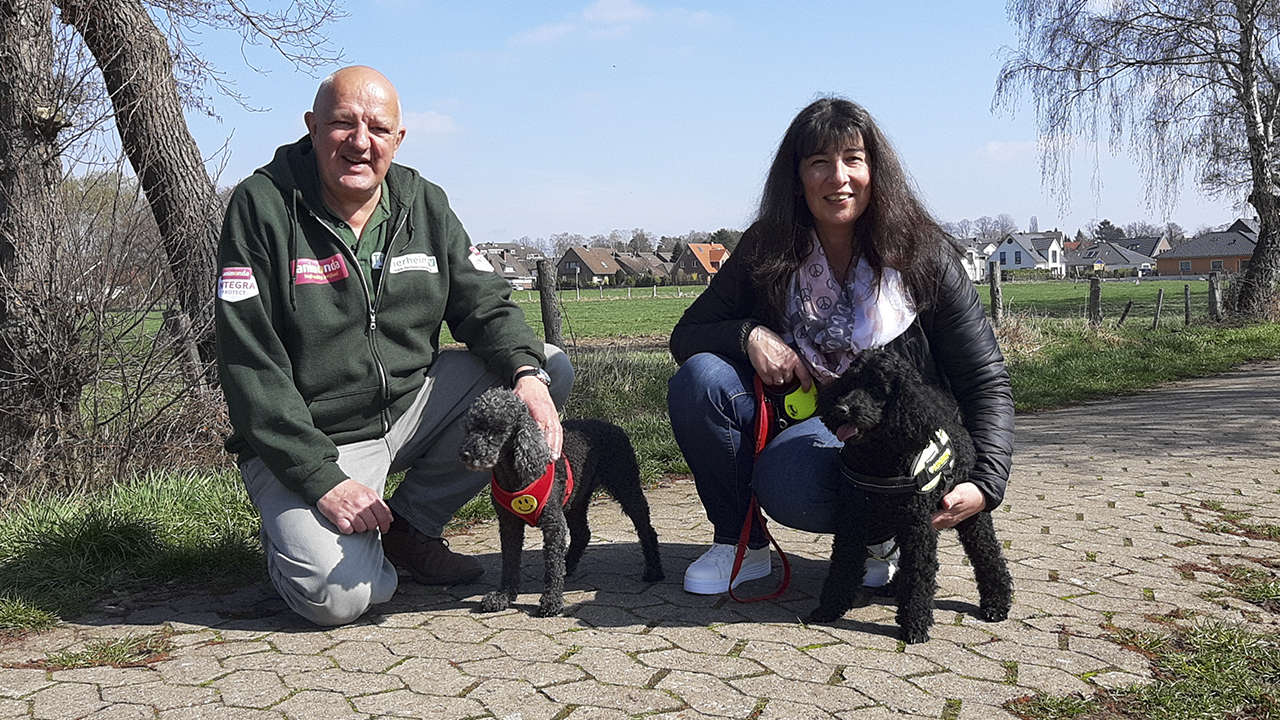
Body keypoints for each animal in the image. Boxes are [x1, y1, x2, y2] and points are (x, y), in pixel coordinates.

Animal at [459, 387, 664, 617]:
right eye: (470, 427)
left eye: (496, 430)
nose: (465, 453)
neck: (515, 476)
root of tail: (613, 425)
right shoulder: (509, 524)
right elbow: (510, 562)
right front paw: (503, 597)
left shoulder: (553, 524)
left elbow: (552, 565)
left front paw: (551, 601)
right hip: (577, 500)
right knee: (583, 533)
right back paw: (569, 564)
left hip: (626, 486)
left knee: (646, 529)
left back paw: (654, 570)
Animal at [806, 346, 1013, 643]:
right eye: (849, 383)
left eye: (877, 389)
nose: (840, 409)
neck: (879, 462)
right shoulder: (852, 521)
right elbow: (842, 566)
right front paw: (829, 608)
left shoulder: (918, 527)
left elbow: (918, 573)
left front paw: (915, 624)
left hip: (971, 517)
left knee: (988, 555)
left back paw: (996, 603)